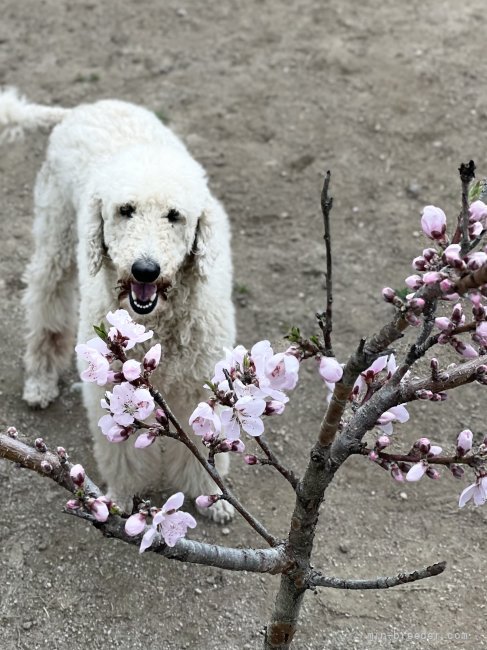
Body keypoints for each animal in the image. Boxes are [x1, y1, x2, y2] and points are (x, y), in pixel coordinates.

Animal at [0, 87, 236, 520]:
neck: (157, 324)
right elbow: (122, 450)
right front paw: (124, 498)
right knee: (46, 302)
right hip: (57, 237)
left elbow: (204, 445)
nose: (145, 270)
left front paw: (212, 495)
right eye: (126, 210)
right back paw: (40, 380)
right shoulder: (112, 385)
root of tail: (83, 108)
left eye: (175, 216)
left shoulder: (199, 379)